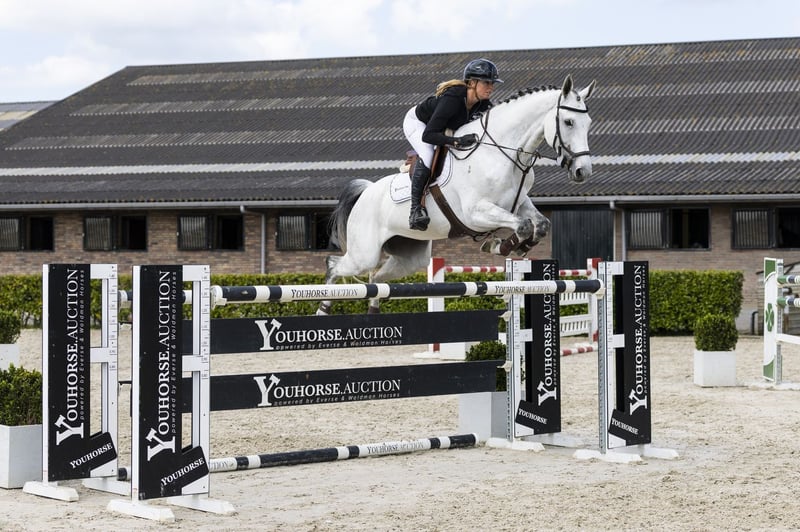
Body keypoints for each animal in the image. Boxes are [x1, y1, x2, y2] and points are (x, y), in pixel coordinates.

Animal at [318, 75, 595, 314]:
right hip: (363, 253)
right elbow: (524, 225)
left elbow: (540, 224)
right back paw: (323, 308)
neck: (502, 152)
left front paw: (512, 246)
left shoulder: (517, 202)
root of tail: (365, 192)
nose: (582, 171)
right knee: (334, 265)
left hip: (410, 258)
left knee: (376, 278)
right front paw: (499, 245)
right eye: (568, 122)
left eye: (588, 124)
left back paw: (373, 309)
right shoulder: (475, 214)